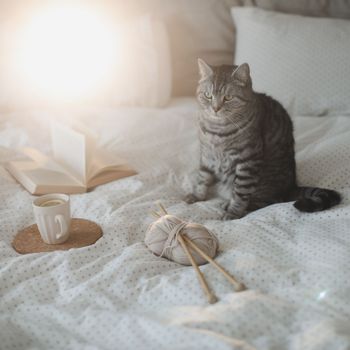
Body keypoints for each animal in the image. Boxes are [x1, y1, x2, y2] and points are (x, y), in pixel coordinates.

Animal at [187, 59, 340, 219]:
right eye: (208, 95)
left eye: (228, 97)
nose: (215, 108)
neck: (217, 131)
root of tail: (291, 187)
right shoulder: (206, 155)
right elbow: (202, 177)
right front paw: (197, 196)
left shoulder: (247, 160)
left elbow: (240, 193)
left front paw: (233, 212)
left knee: (267, 201)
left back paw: (229, 204)